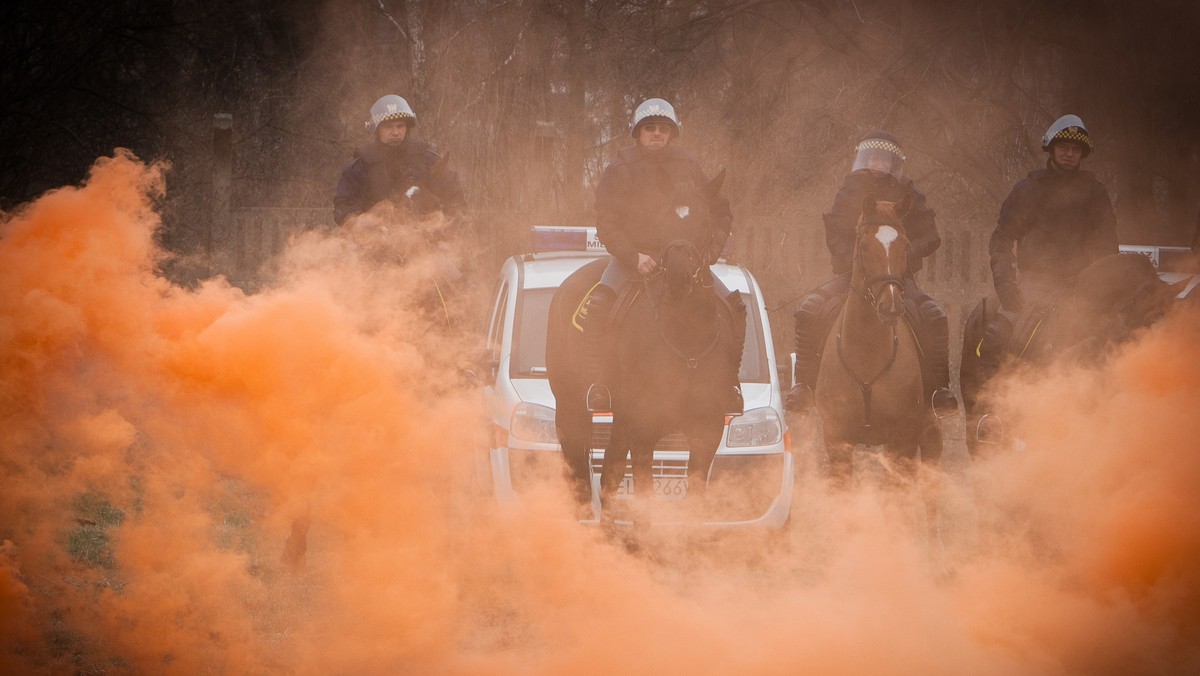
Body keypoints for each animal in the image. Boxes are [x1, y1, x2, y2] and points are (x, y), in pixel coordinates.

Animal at [811, 195, 940, 487]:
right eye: (864, 245)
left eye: (905, 245)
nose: (890, 307)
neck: (867, 352)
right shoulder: (836, 440)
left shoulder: (901, 441)